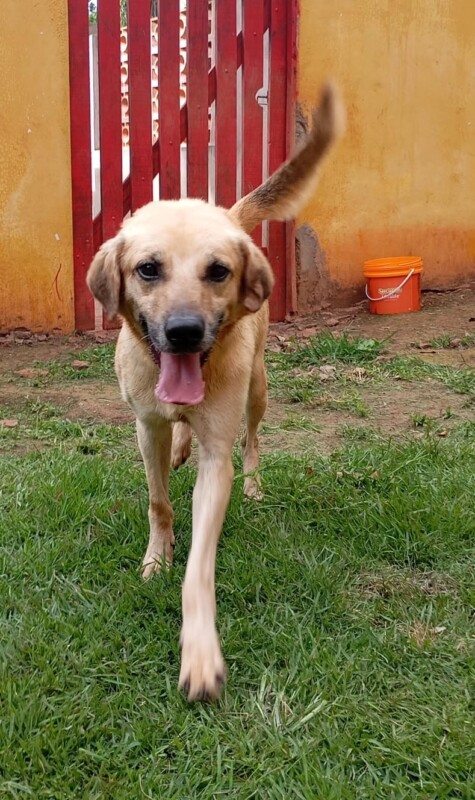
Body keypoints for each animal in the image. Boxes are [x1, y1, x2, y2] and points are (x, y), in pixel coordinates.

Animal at [86, 83, 346, 700]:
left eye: (218, 271)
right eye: (148, 268)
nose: (184, 331)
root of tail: (226, 212)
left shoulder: (216, 458)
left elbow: (199, 565)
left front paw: (201, 653)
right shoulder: (146, 427)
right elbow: (158, 502)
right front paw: (156, 559)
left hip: (257, 390)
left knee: (252, 440)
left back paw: (253, 483)